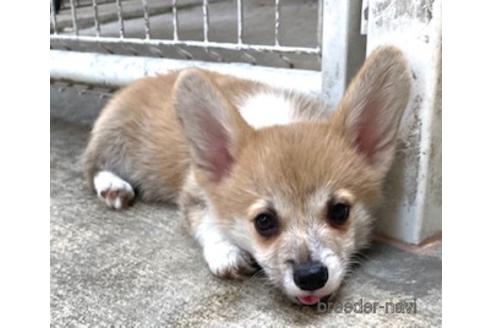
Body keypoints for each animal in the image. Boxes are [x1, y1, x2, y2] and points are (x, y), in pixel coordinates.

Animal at [83, 45, 412, 304]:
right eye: (263, 222)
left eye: (340, 211)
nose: (310, 277)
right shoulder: (194, 194)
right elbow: (208, 223)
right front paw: (226, 253)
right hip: (113, 141)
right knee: (91, 166)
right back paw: (112, 185)